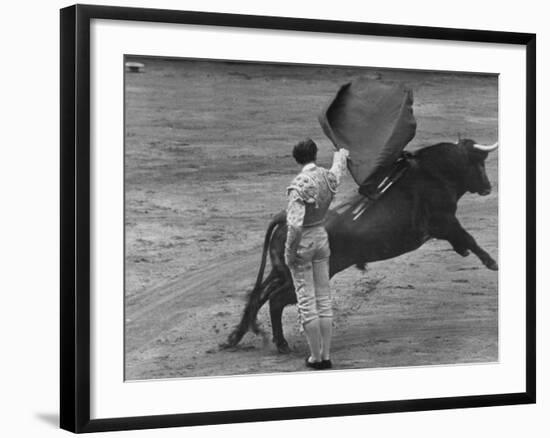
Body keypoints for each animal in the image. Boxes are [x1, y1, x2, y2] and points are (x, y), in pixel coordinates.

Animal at [223, 139, 500, 354]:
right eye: (478, 163)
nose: (488, 187)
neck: (434, 173)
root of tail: (285, 217)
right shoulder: (444, 220)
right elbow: (468, 237)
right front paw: (492, 262)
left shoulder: (443, 224)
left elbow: (462, 239)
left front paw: (468, 253)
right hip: (305, 274)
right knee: (276, 300)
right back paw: (280, 344)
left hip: (281, 270)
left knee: (259, 295)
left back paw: (236, 337)